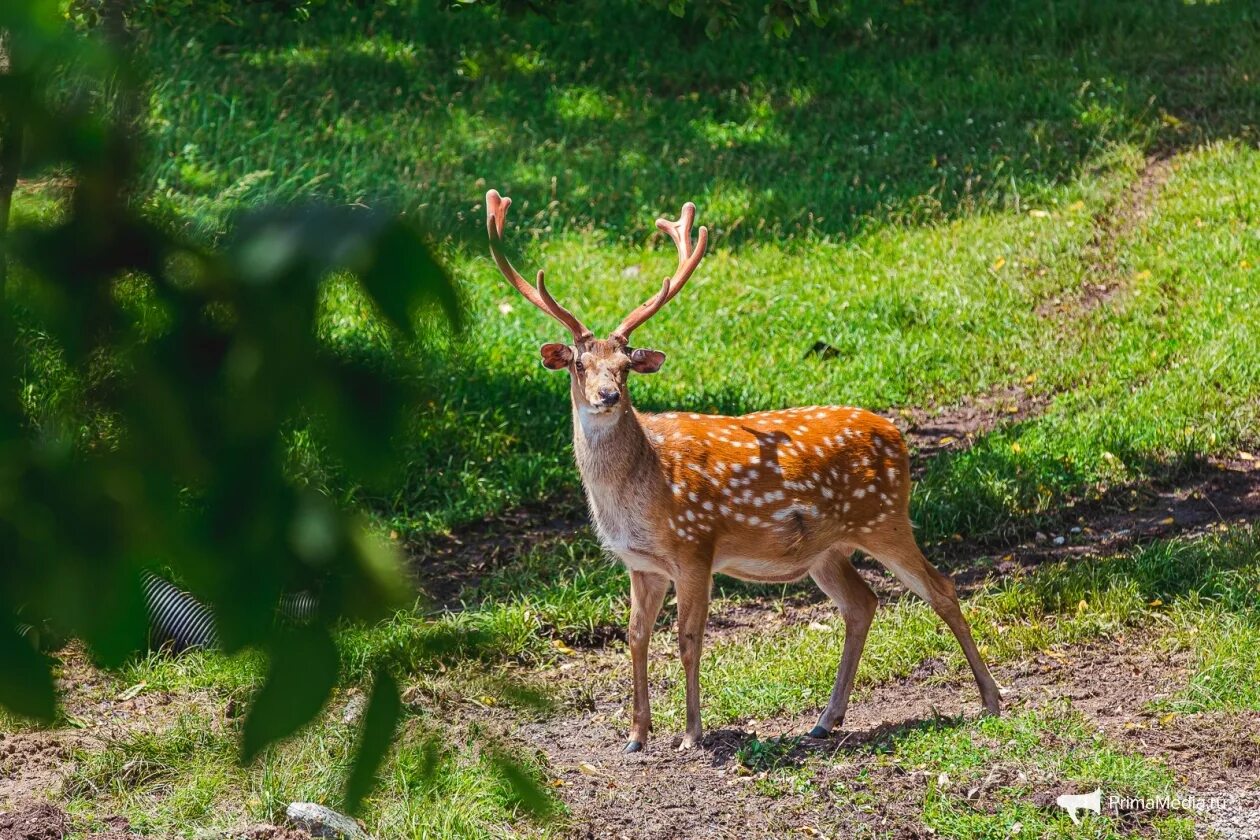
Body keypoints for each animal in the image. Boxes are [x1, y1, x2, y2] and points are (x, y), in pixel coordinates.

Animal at [483, 192, 1002, 755]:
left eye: (624, 365)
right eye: (579, 363)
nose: (608, 395)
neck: (638, 491)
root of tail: (899, 437)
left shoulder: (695, 547)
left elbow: (688, 639)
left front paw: (691, 735)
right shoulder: (640, 564)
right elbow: (636, 639)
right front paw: (636, 737)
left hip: (885, 518)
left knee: (941, 588)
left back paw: (991, 700)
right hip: (828, 550)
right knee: (863, 603)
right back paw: (825, 720)